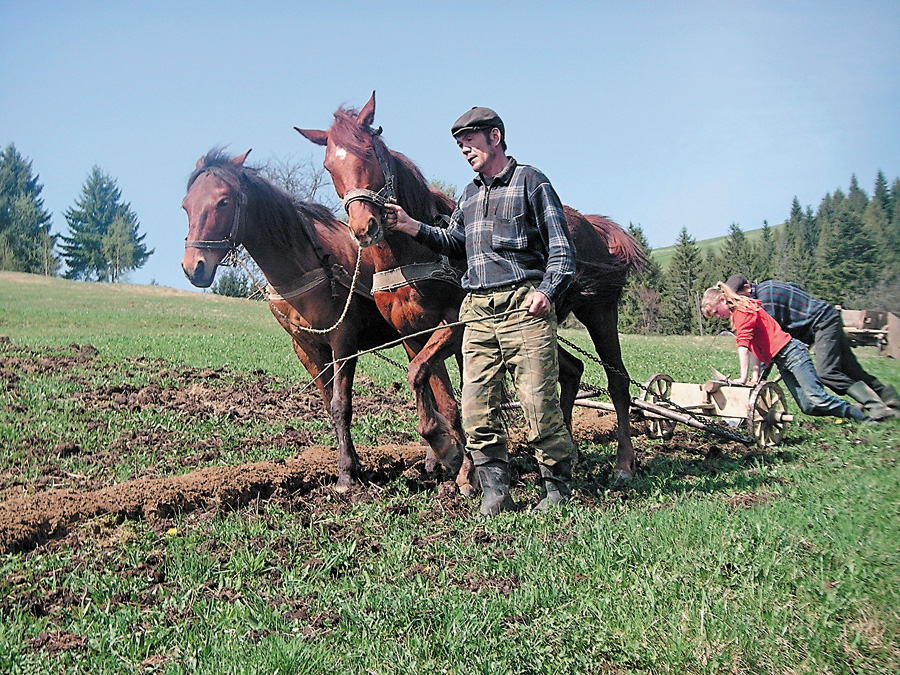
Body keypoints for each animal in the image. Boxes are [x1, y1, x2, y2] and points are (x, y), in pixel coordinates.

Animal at [181, 148, 434, 488]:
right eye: (186, 205)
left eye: (223, 201)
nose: (193, 267)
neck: (308, 262)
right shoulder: (306, 348)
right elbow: (328, 403)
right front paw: (356, 465)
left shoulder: (343, 342)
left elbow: (341, 405)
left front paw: (346, 474)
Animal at [298, 92, 644, 480]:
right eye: (329, 166)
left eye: (369, 151)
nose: (363, 227)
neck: (411, 255)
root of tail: (591, 223)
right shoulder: (413, 335)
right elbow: (438, 392)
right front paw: (456, 460)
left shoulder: (457, 326)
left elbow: (438, 386)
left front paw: (454, 456)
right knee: (570, 371)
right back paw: (567, 450)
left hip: (599, 312)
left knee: (618, 382)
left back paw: (623, 462)